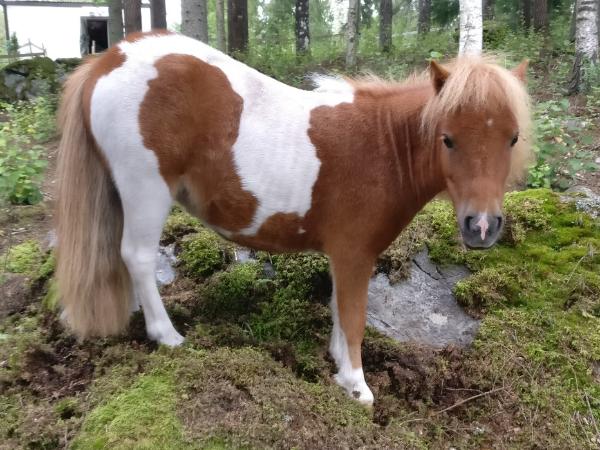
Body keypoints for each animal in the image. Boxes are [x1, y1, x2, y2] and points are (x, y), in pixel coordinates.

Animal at [55, 31, 532, 405]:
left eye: (512, 138)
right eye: (447, 139)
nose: (481, 227)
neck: (382, 146)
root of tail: (110, 59)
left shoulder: (343, 257)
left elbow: (339, 311)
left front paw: (339, 367)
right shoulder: (354, 254)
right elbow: (353, 317)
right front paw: (356, 386)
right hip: (146, 190)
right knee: (136, 257)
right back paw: (166, 335)